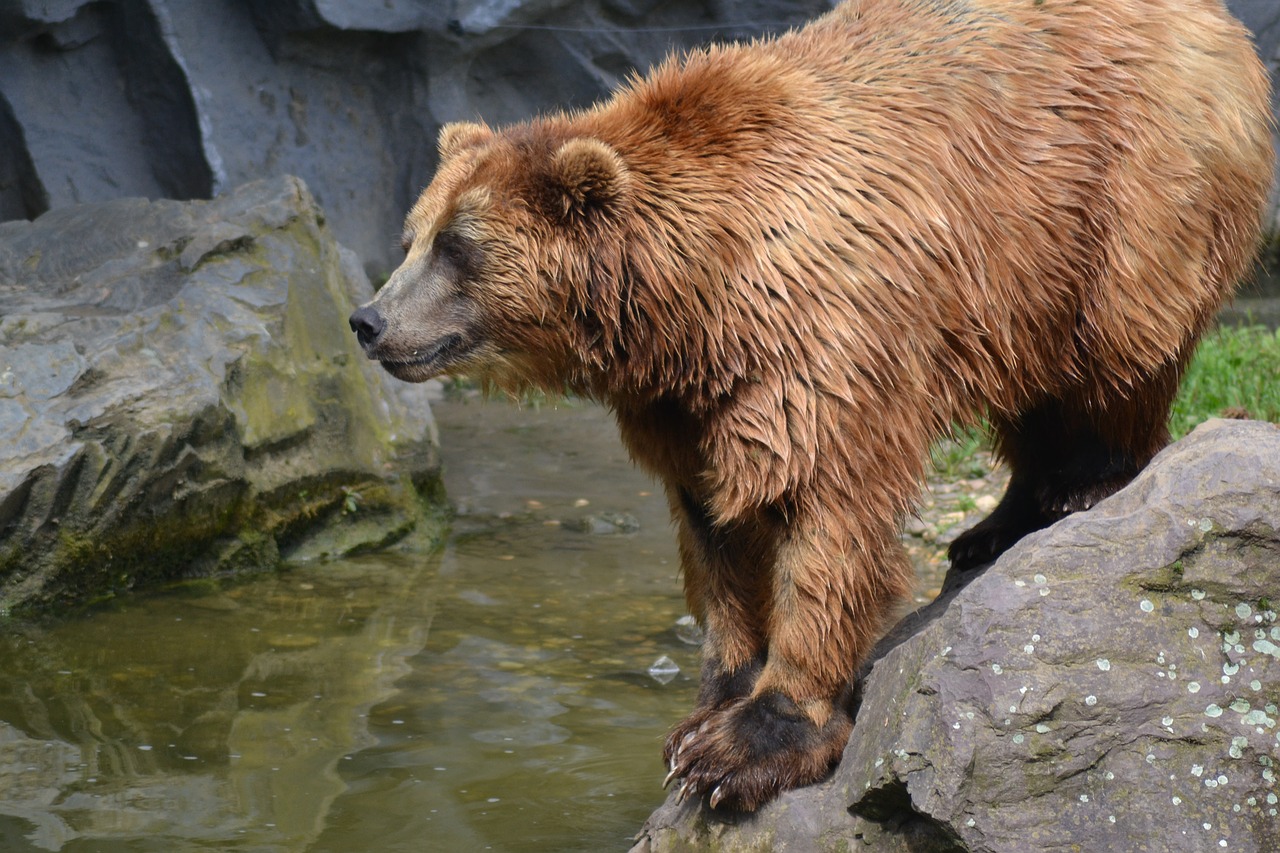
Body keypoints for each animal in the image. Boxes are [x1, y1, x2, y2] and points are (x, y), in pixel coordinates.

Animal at [348, 0, 1269, 809]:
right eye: (414, 235)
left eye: (459, 247)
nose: (368, 319)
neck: (691, 302)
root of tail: (1220, 22)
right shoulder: (685, 404)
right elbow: (714, 534)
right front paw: (708, 703)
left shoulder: (821, 333)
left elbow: (823, 512)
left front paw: (747, 744)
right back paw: (991, 526)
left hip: (1118, 203)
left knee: (1117, 351)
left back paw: (1082, 485)